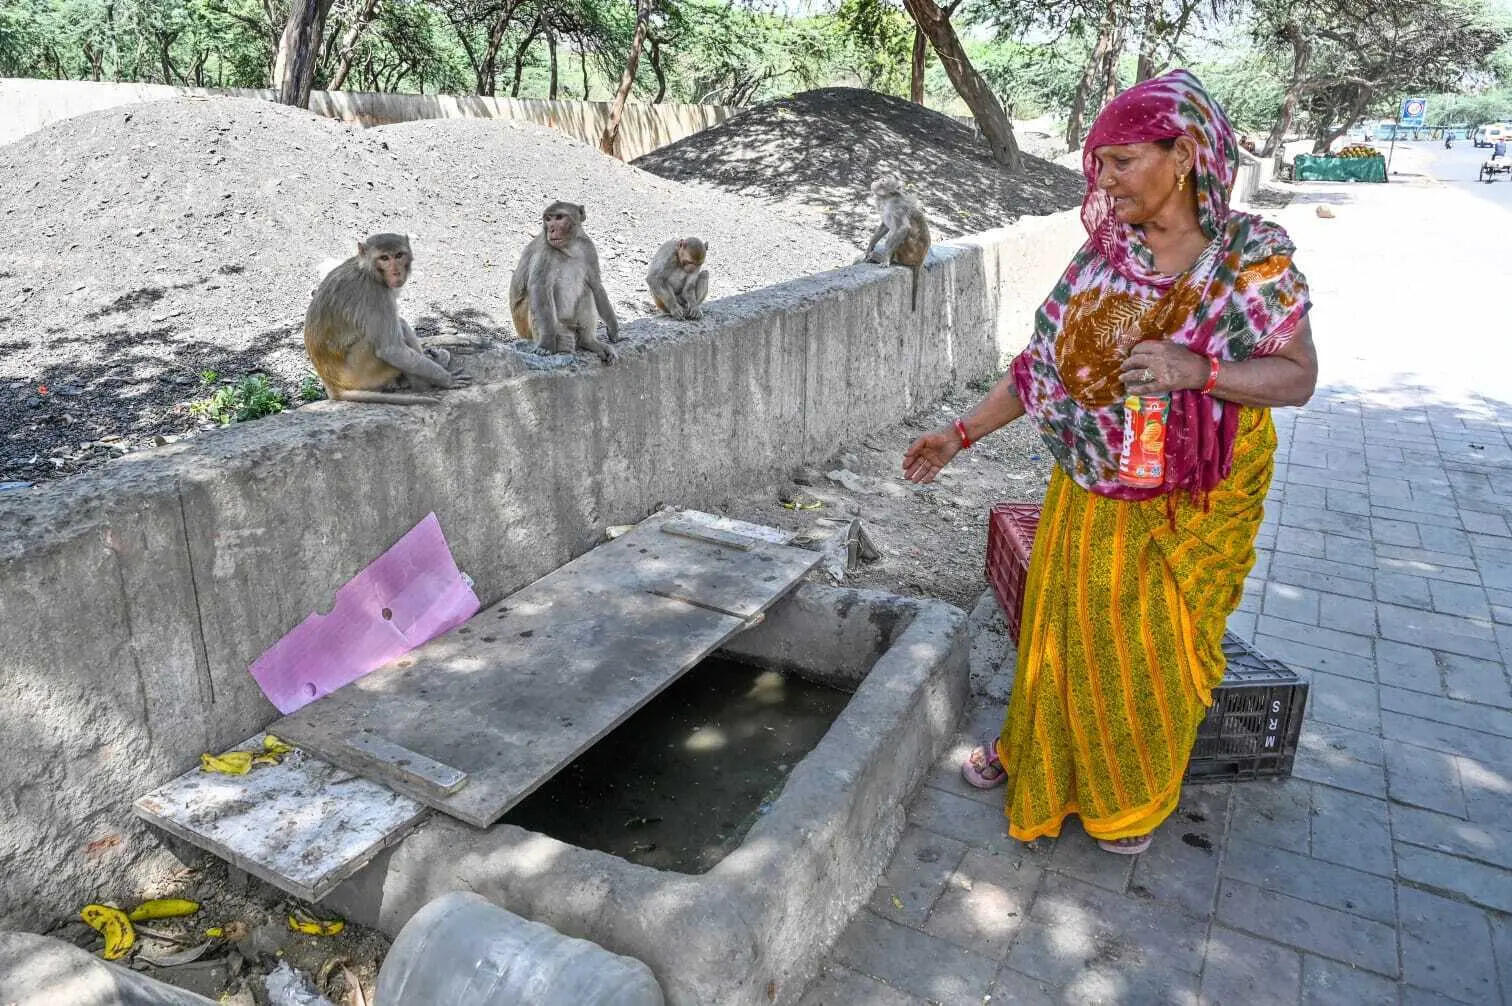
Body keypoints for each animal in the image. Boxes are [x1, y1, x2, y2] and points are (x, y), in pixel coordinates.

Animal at [303, 233, 468, 405]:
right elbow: (391, 350)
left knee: (400, 325)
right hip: (364, 371)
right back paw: (424, 383)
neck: (367, 271)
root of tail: (332, 385)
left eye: (399, 255)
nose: (396, 272)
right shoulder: (376, 295)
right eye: (384, 258)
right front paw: (446, 379)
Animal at [509, 201, 621, 364]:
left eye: (559, 217)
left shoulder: (588, 248)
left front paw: (613, 326)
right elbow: (539, 289)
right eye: (548, 219)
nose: (551, 229)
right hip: (528, 326)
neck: (569, 248)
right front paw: (546, 344)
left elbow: (596, 284)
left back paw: (588, 341)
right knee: (534, 301)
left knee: (587, 291)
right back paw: (560, 343)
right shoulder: (544, 253)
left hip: (572, 322)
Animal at [858, 173, 931, 311]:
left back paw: (888, 259)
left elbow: (903, 228)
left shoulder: (897, 207)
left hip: (910, 251)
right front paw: (870, 247)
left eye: (883, 180)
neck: (887, 198)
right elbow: (885, 226)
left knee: (898, 232)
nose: (876, 180)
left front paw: (886, 259)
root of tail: (921, 259)